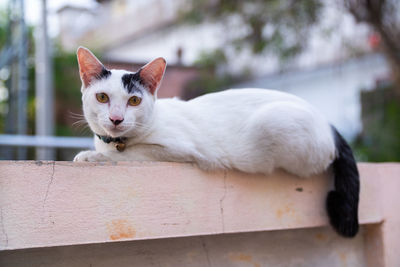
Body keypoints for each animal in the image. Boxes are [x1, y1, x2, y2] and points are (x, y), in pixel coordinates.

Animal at [74, 46, 360, 239]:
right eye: (102, 97)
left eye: (134, 101)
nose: (116, 118)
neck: (114, 140)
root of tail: (327, 123)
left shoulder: (180, 150)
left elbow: (131, 152)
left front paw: (91, 156)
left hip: (276, 123)